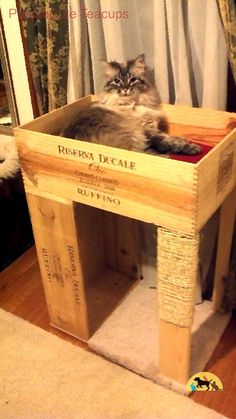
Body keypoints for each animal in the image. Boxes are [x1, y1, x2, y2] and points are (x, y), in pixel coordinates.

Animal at [60, 54, 201, 156]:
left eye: (133, 80)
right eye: (117, 81)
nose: (125, 88)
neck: (133, 103)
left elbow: (170, 138)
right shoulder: (148, 129)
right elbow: (167, 140)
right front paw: (191, 147)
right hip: (133, 134)